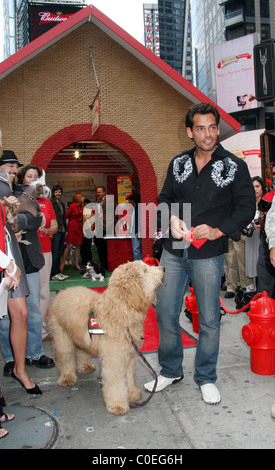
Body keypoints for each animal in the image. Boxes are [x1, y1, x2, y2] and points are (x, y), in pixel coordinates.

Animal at [48, 260, 164, 414]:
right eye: (144, 270)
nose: (163, 268)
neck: (119, 312)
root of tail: (63, 292)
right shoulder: (114, 358)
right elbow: (115, 382)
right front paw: (118, 405)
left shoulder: (130, 355)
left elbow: (129, 376)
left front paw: (132, 394)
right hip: (62, 336)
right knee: (64, 357)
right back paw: (67, 377)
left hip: (80, 337)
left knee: (82, 350)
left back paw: (85, 366)